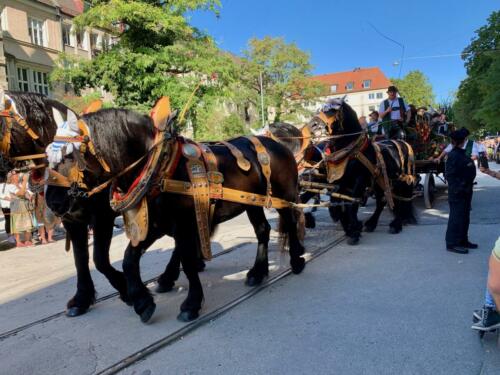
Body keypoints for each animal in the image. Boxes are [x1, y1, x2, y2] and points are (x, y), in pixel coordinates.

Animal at [47, 108, 304, 324]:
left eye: (70, 156)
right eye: (47, 155)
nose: (52, 201)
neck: (161, 167)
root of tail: (276, 143)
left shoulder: (182, 224)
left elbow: (187, 261)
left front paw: (191, 303)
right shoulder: (155, 224)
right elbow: (129, 258)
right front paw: (140, 300)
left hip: (283, 196)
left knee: (291, 222)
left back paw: (296, 260)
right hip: (252, 203)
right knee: (262, 230)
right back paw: (258, 272)